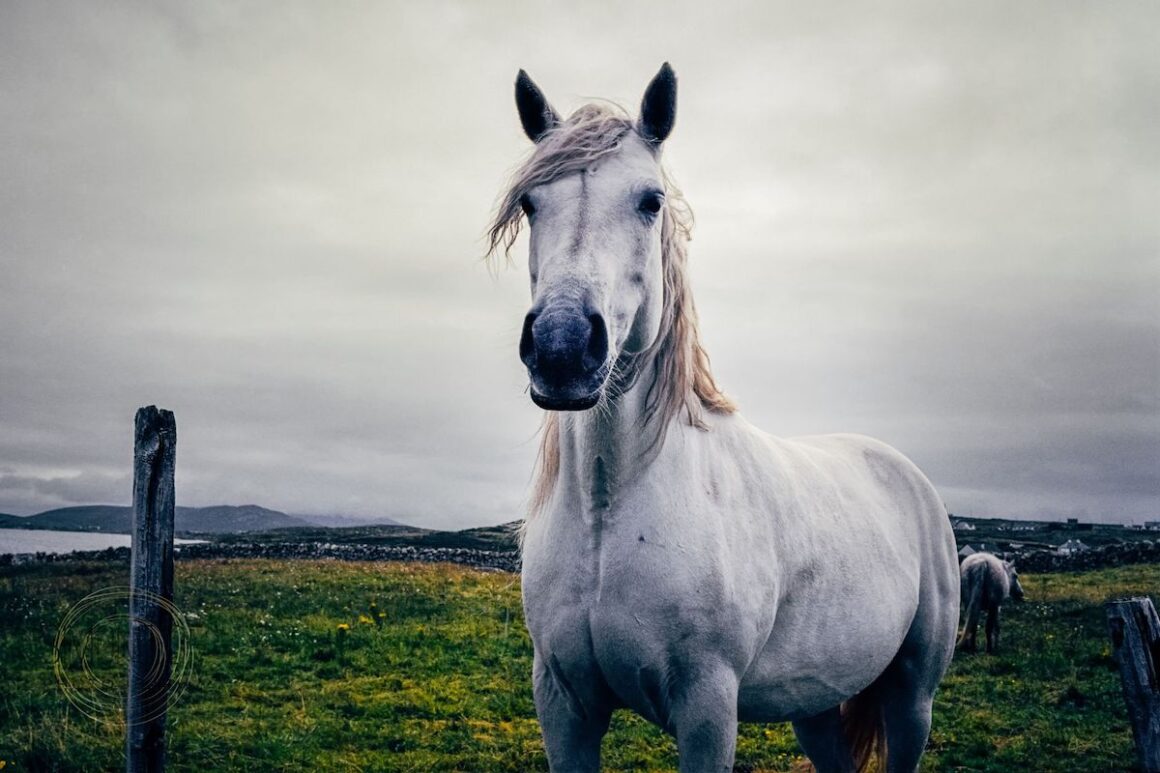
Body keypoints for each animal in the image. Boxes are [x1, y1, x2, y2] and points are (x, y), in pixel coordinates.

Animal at [489, 63, 960, 766]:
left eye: (651, 201)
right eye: (529, 204)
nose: (563, 347)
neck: (609, 511)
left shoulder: (708, 708)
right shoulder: (563, 705)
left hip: (912, 700)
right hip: (814, 705)